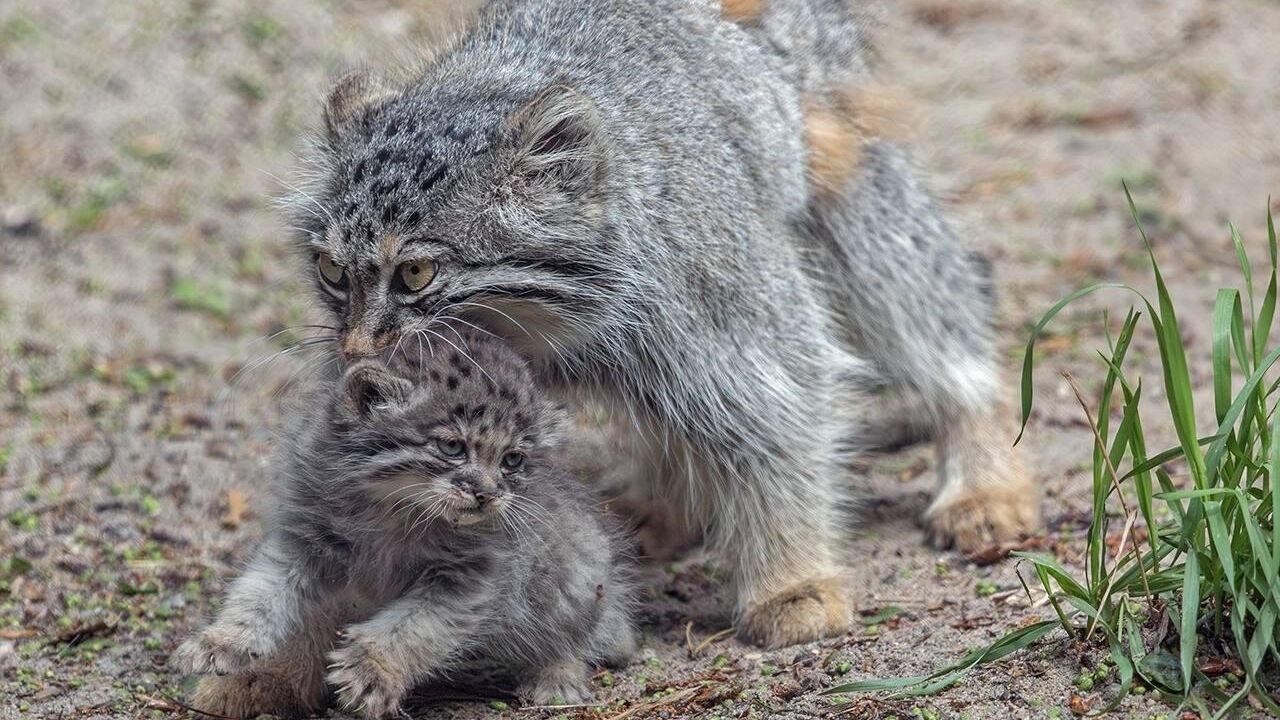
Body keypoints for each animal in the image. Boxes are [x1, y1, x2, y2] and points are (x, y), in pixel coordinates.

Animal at [175, 330, 634, 717]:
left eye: (512, 459)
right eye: (452, 447)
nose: (487, 494)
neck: (393, 512)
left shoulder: (471, 577)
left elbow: (415, 628)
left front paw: (371, 670)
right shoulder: (303, 540)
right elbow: (259, 592)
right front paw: (222, 641)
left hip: (579, 574)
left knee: (583, 633)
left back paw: (558, 677)